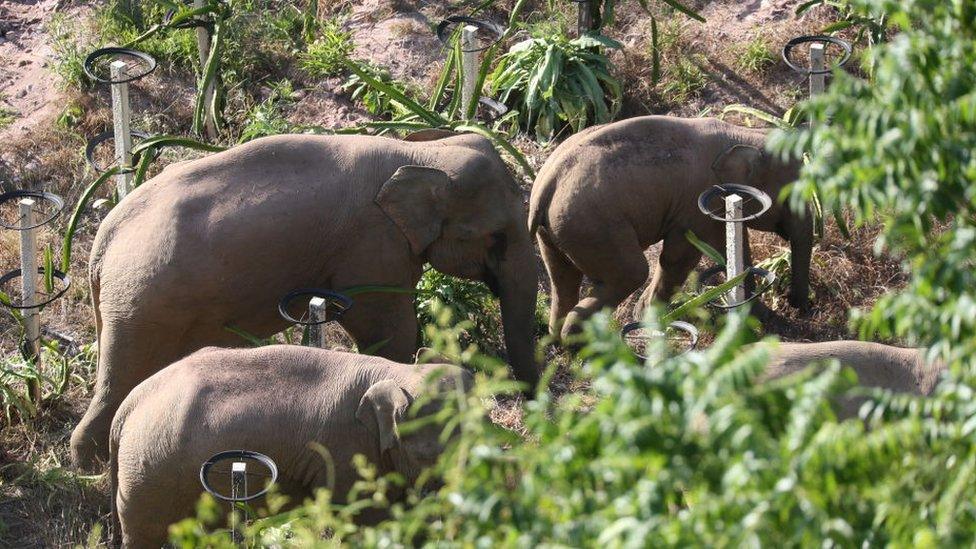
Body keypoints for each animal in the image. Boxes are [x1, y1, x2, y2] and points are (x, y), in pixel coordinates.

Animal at [70, 132, 540, 466]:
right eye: (495, 237)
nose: (533, 417)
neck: (417, 153)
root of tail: (102, 240)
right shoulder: (372, 245)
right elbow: (388, 328)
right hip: (143, 300)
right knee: (122, 370)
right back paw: (90, 463)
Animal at [109, 344, 468, 544]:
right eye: (432, 454)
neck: (395, 369)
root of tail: (127, 406)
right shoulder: (343, 451)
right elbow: (365, 519)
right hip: (149, 472)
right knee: (146, 532)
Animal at [528, 115, 812, 338]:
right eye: (791, 197)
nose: (797, 306)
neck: (742, 133)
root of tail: (546, 184)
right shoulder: (696, 204)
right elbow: (680, 257)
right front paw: (647, 318)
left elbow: (734, 246)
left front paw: (760, 316)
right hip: (593, 227)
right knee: (632, 272)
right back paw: (581, 346)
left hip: (557, 231)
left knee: (562, 277)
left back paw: (558, 338)